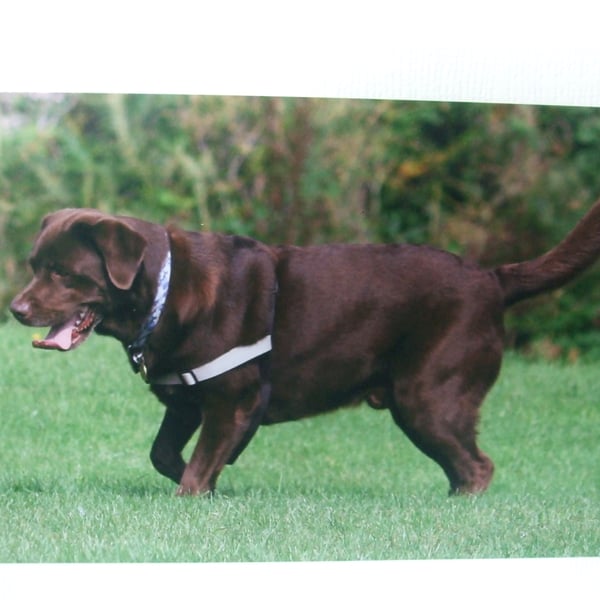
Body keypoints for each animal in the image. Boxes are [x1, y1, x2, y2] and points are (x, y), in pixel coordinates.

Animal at [8, 204, 600, 494]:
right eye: (35, 265)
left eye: (64, 273)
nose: (15, 309)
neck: (165, 292)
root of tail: (492, 279)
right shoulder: (186, 399)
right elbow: (166, 456)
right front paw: (219, 490)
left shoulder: (235, 400)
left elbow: (196, 470)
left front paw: (197, 496)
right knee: (464, 467)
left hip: (428, 397)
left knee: (476, 467)